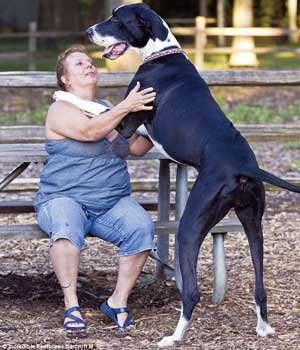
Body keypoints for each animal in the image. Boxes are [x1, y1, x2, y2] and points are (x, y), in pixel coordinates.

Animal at [85, 3, 300, 348]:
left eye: (117, 19)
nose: (88, 31)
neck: (160, 53)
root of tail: (244, 166)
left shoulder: (128, 122)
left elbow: (97, 109)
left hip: (189, 226)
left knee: (192, 292)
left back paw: (174, 336)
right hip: (254, 223)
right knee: (260, 284)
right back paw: (264, 328)